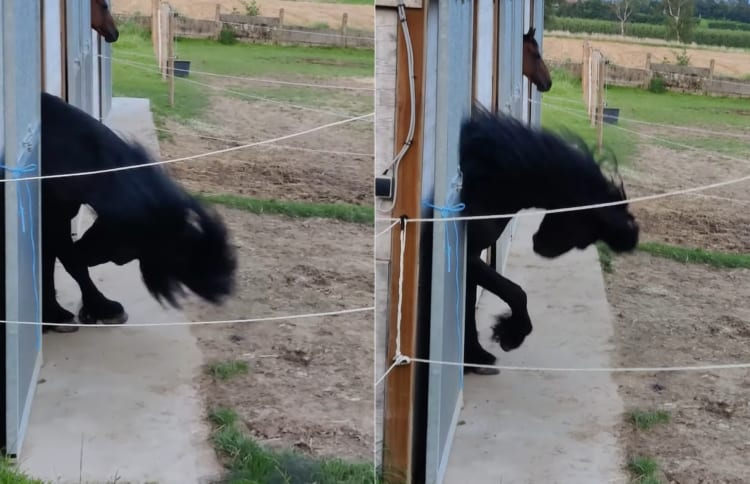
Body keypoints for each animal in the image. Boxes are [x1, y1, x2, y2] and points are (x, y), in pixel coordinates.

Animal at [41, 92, 236, 333]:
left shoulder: (56, 218)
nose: (221, 284)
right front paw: (78, 312)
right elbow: (70, 263)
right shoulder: (51, 218)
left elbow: (52, 263)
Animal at [459, 105, 639, 374]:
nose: (541, 247)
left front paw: (474, 356)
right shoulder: (467, 255)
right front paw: (511, 334)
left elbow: (468, 305)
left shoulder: (470, 258)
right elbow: (516, 292)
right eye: (584, 234)